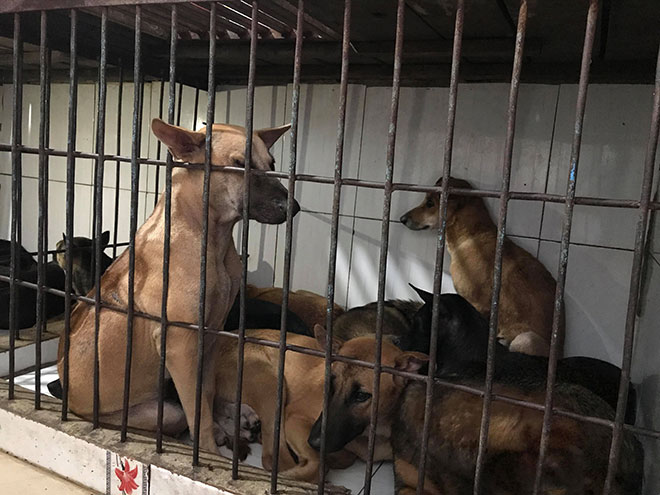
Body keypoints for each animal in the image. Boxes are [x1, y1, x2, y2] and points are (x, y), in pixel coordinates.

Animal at [57, 118, 298, 453]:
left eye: (272, 164)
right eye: (239, 165)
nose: (293, 207)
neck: (211, 239)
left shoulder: (210, 339)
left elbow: (206, 395)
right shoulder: (180, 346)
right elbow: (199, 416)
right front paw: (210, 452)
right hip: (157, 410)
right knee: (180, 413)